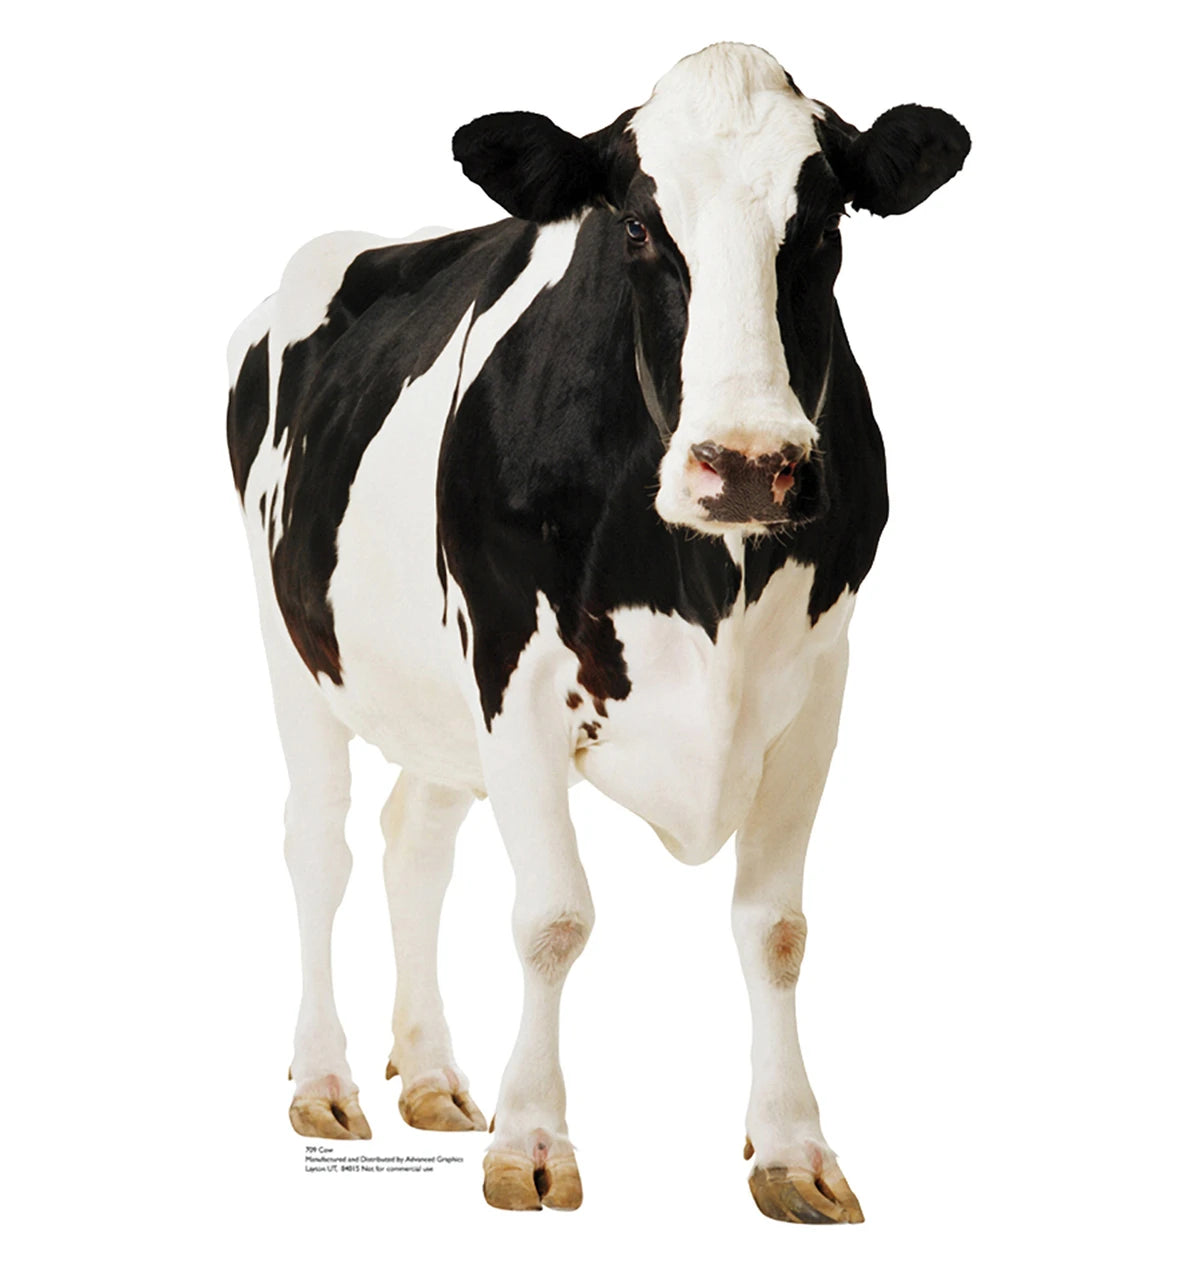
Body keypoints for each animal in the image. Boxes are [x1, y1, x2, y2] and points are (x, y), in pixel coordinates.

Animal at [226, 42, 969, 1222]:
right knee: (317, 843)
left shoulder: (817, 685)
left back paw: (429, 1075)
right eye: (633, 226)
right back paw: (324, 1081)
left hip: (435, 696)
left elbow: (776, 928)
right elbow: (552, 917)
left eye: (823, 224)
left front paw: (792, 1149)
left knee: (413, 841)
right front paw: (530, 1141)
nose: (748, 463)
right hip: (291, 637)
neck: (705, 577)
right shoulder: (512, 671)